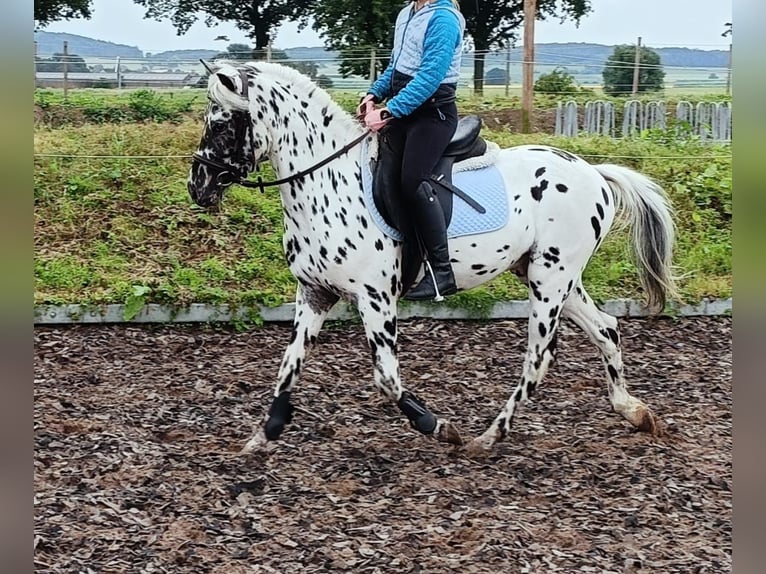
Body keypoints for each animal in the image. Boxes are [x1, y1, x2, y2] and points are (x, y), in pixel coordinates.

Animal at [189, 59, 680, 454]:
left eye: (222, 124)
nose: (198, 187)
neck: (328, 184)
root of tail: (593, 172)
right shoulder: (314, 293)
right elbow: (288, 366)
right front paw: (264, 434)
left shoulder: (376, 300)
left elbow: (386, 379)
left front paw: (439, 426)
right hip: (550, 275)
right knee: (606, 329)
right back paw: (633, 411)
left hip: (550, 281)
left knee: (539, 357)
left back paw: (488, 438)